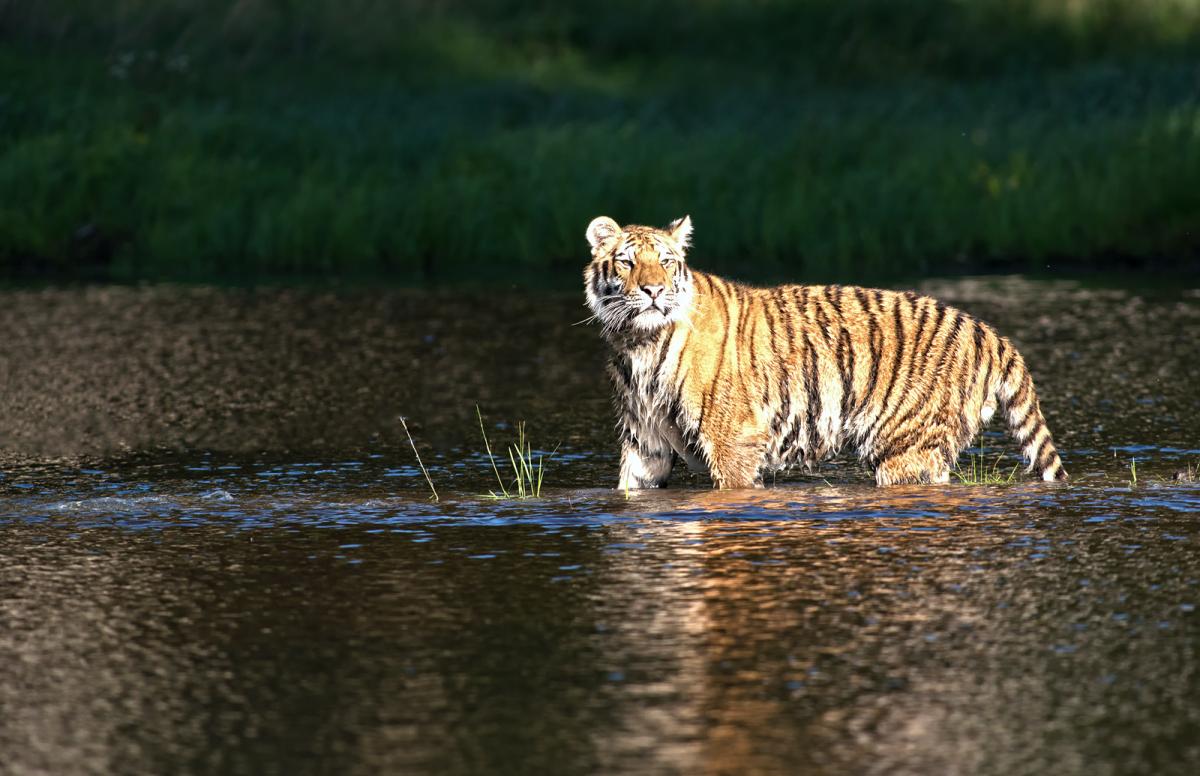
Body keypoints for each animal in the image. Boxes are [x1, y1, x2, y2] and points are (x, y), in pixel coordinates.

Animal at [583, 214, 1069, 489]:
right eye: (627, 262)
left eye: (665, 262)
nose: (653, 290)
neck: (639, 341)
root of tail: (987, 331)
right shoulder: (645, 442)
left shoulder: (732, 441)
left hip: (906, 447)